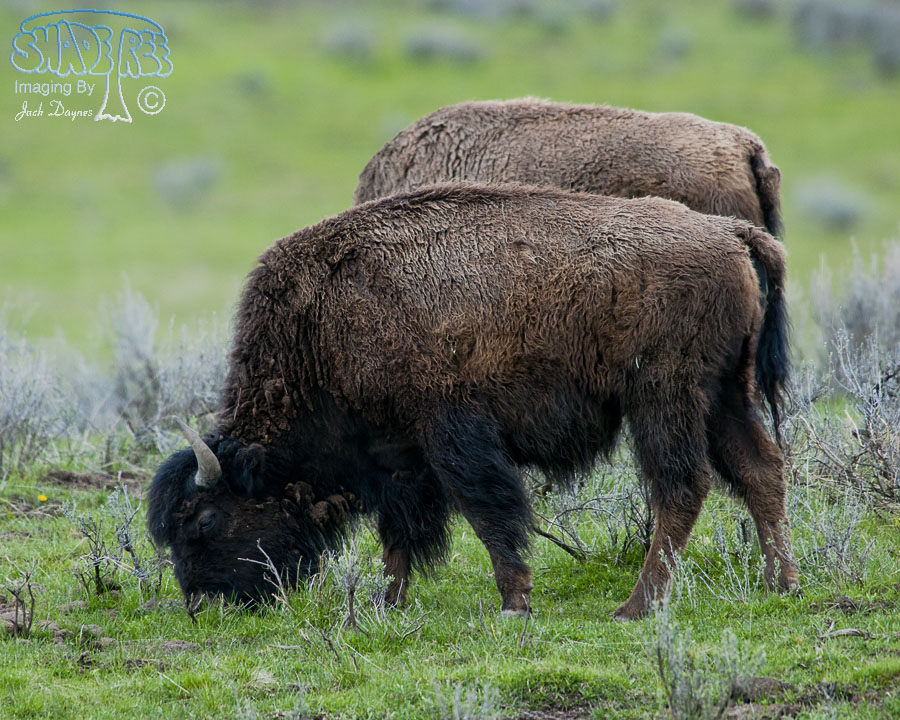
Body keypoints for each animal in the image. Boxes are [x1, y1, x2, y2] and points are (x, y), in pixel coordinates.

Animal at [148, 183, 798, 620]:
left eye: (204, 518)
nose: (201, 603)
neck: (323, 326)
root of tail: (728, 232)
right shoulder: (398, 458)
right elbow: (400, 536)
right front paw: (388, 603)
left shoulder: (452, 436)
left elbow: (488, 515)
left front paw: (514, 601)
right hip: (725, 394)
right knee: (760, 470)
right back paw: (780, 582)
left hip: (664, 397)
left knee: (682, 488)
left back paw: (637, 606)